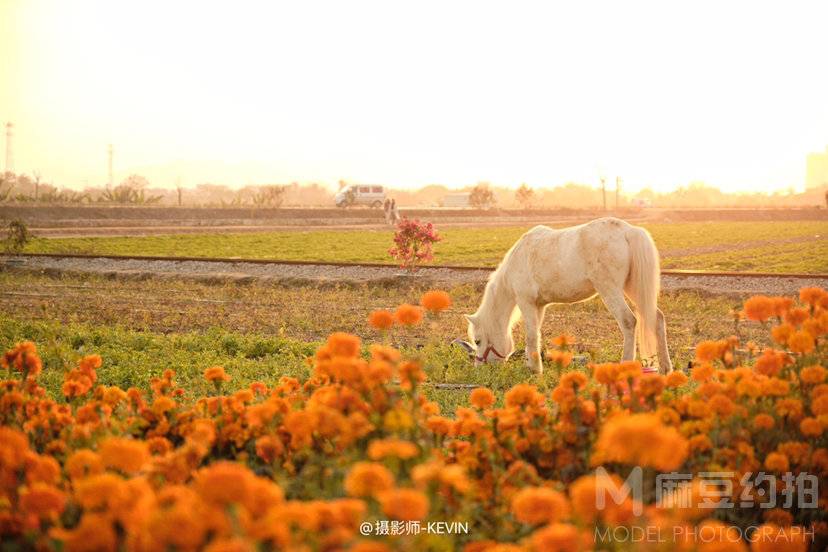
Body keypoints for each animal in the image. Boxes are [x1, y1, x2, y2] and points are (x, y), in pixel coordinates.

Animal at [466, 218, 672, 374]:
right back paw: (665, 368)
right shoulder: (539, 306)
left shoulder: (526, 302)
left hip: (610, 289)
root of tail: (627, 231)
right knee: (657, 318)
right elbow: (536, 334)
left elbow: (531, 336)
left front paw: (535, 370)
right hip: (633, 288)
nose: (479, 368)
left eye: (477, 341)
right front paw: (533, 364)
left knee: (629, 321)